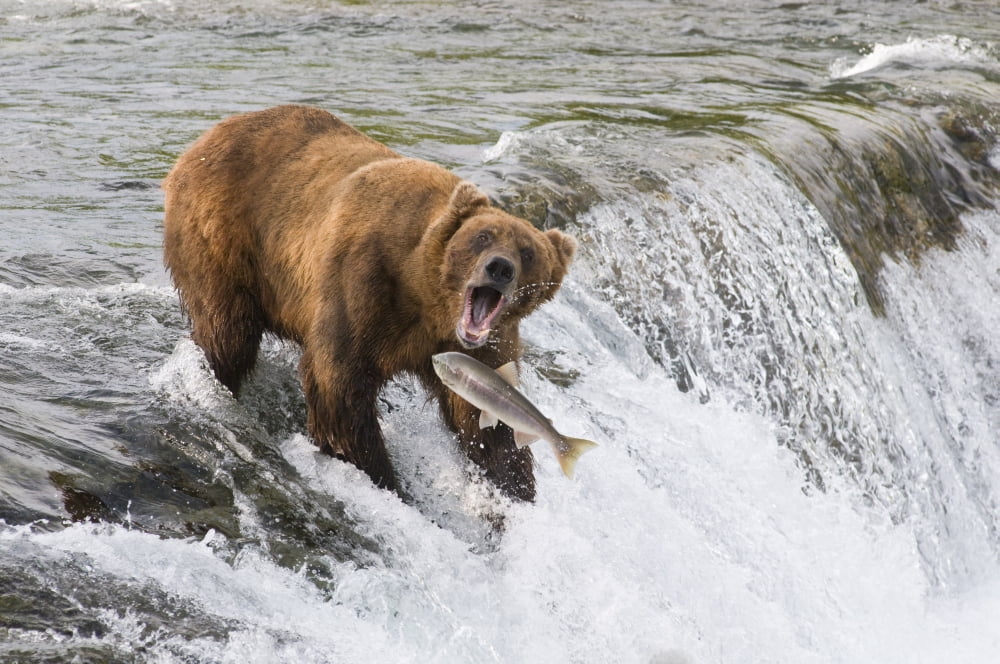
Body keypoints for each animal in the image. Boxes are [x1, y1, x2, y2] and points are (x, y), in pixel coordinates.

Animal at [162, 105, 577, 502]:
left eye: (528, 252)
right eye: (482, 236)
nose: (500, 268)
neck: (426, 295)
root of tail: (202, 140)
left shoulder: (484, 345)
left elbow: (483, 419)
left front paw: (512, 488)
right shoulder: (365, 284)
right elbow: (339, 384)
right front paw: (381, 475)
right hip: (222, 235)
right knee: (229, 335)